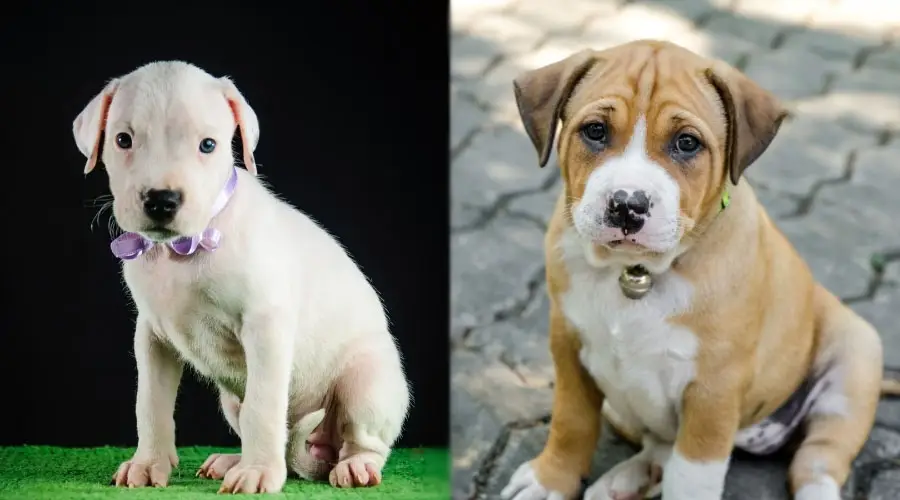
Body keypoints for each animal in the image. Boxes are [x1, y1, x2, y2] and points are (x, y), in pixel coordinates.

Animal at [74, 61, 412, 492]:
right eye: (122, 139)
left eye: (208, 145)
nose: (162, 201)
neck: (186, 249)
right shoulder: (152, 337)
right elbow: (150, 403)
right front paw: (148, 464)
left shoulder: (265, 327)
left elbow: (263, 407)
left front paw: (258, 473)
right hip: (230, 401)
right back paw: (233, 460)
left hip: (367, 384)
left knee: (363, 441)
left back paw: (353, 466)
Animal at [500, 40, 884, 500]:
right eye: (595, 131)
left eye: (687, 143)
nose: (627, 205)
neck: (636, 273)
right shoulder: (567, 346)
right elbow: (571, 421)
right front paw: (550, 479)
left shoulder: (712, 390)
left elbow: (692, 472)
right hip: (622, 409)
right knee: (660, 444)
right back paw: (628, 479)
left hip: (853, 363)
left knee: (817, 460)